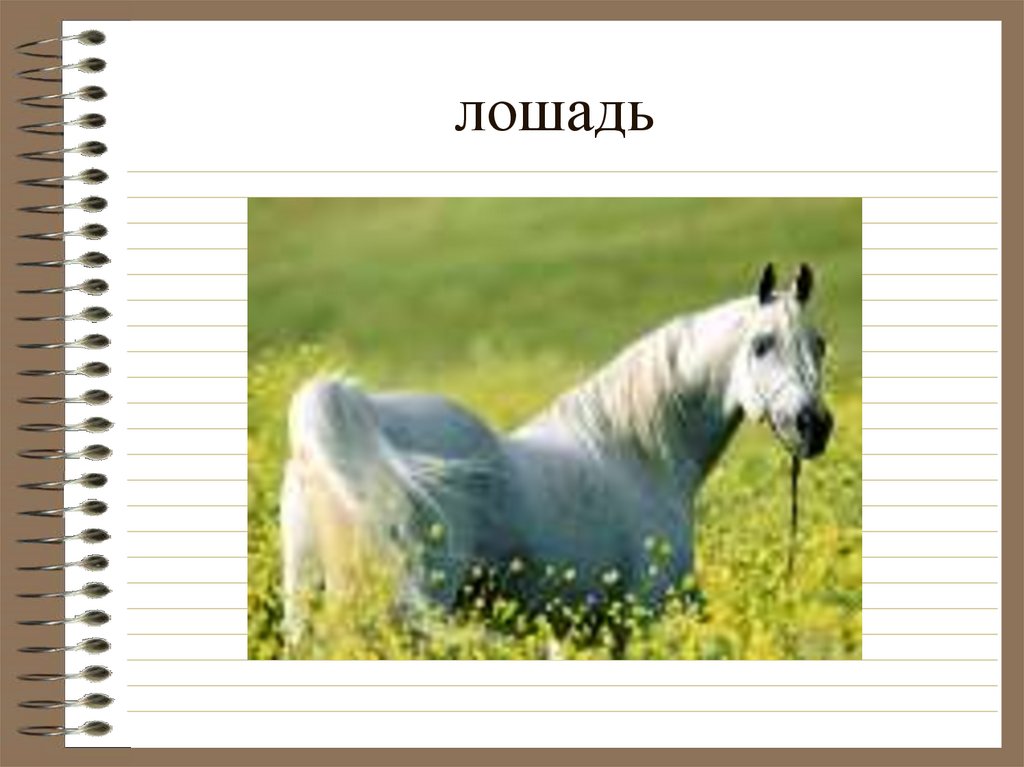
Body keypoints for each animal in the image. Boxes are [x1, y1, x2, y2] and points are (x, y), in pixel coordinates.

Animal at [279, 263, 833, 644]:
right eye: (762, 344)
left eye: (820, 344)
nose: (814, 426)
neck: (637, 454)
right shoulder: (642, 616)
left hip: (306, 601)